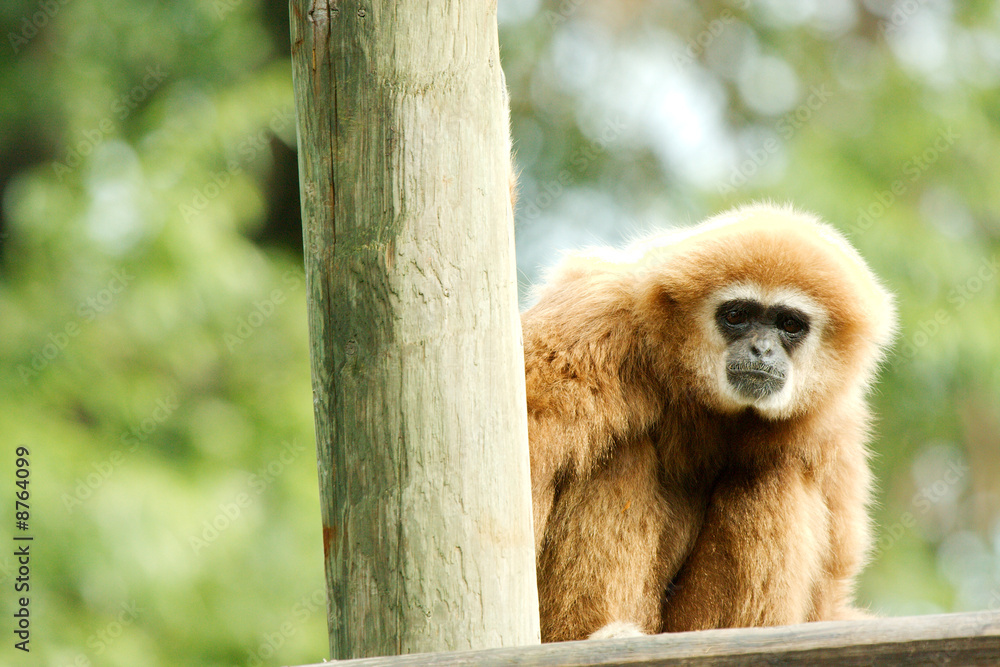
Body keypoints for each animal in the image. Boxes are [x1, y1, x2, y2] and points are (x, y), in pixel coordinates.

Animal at [521, 203, 896, 642]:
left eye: (789, 324)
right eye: (736, 315)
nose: (761, 349)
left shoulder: (833, 421)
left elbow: (828, 598)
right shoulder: (595, 319)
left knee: (775, 470)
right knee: (620, 455)